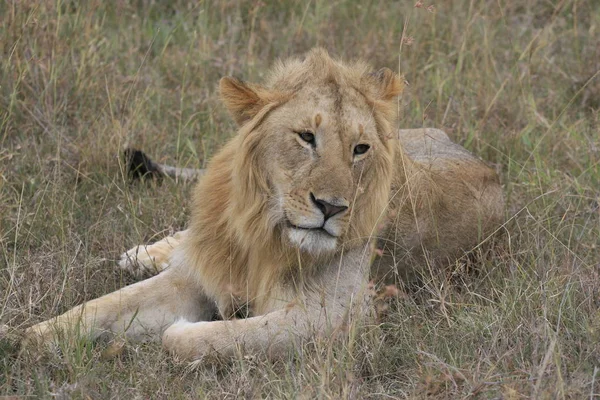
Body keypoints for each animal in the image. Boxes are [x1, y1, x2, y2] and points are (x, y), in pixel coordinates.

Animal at [23, 48, 504, 360]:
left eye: (360, 149)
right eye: (306, 137)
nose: (332, 207)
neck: (263, 228)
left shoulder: (340, 317)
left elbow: (196, 338)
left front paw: (195, 326)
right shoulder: (193, 276)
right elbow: (98, 307)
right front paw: (26, 338)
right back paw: (144, 254)